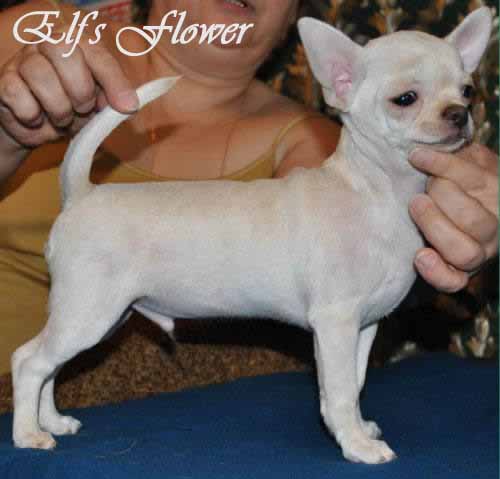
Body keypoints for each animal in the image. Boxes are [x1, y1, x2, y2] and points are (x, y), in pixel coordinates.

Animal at [11, 7, 491, 464]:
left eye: (467, 91)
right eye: (405, 99)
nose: (459, 114)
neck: (381, 194)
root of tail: (81, 192)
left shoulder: (364, 325)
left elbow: (353, 384)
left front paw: (359, 429)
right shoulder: (335, 323)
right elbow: (337, 393)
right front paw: (356, 446)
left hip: (98, 317)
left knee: (50, 366)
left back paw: (51, 421)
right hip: (88, 313)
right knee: (29, 361)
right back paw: (28, 434)